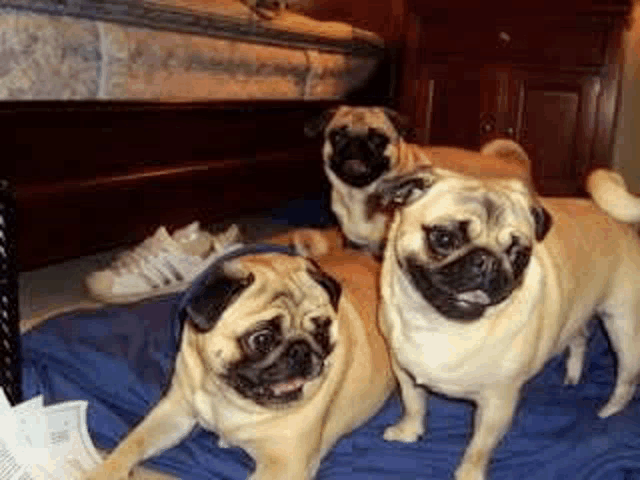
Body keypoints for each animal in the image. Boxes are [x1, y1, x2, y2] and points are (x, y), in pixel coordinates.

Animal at [85, 229, 396, 480]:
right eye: (262, 339)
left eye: (321, 332)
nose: (301, 350)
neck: (227, 397)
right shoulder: (174, 412)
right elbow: (132, 442)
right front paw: (105, 471)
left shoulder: (284, 465)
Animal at [304, 105, 528, 255]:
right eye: (337, 136)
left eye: (377, 139)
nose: (355, 145)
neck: (361, 197)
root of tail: (518, 165)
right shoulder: (354, 247)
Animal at [376, 166, 640, 480]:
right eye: (444, 239)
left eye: (518, 255)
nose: (487, 261)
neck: (440, 323)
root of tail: (616, 220)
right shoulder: (404, 372)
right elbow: (414, 404)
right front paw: (409, 431)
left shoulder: (497, 402)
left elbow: (480, 445)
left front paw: (469, 474)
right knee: (580, 337)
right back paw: (573, 376)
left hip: (623, 329)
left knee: (626, 380)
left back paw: (608, 412)